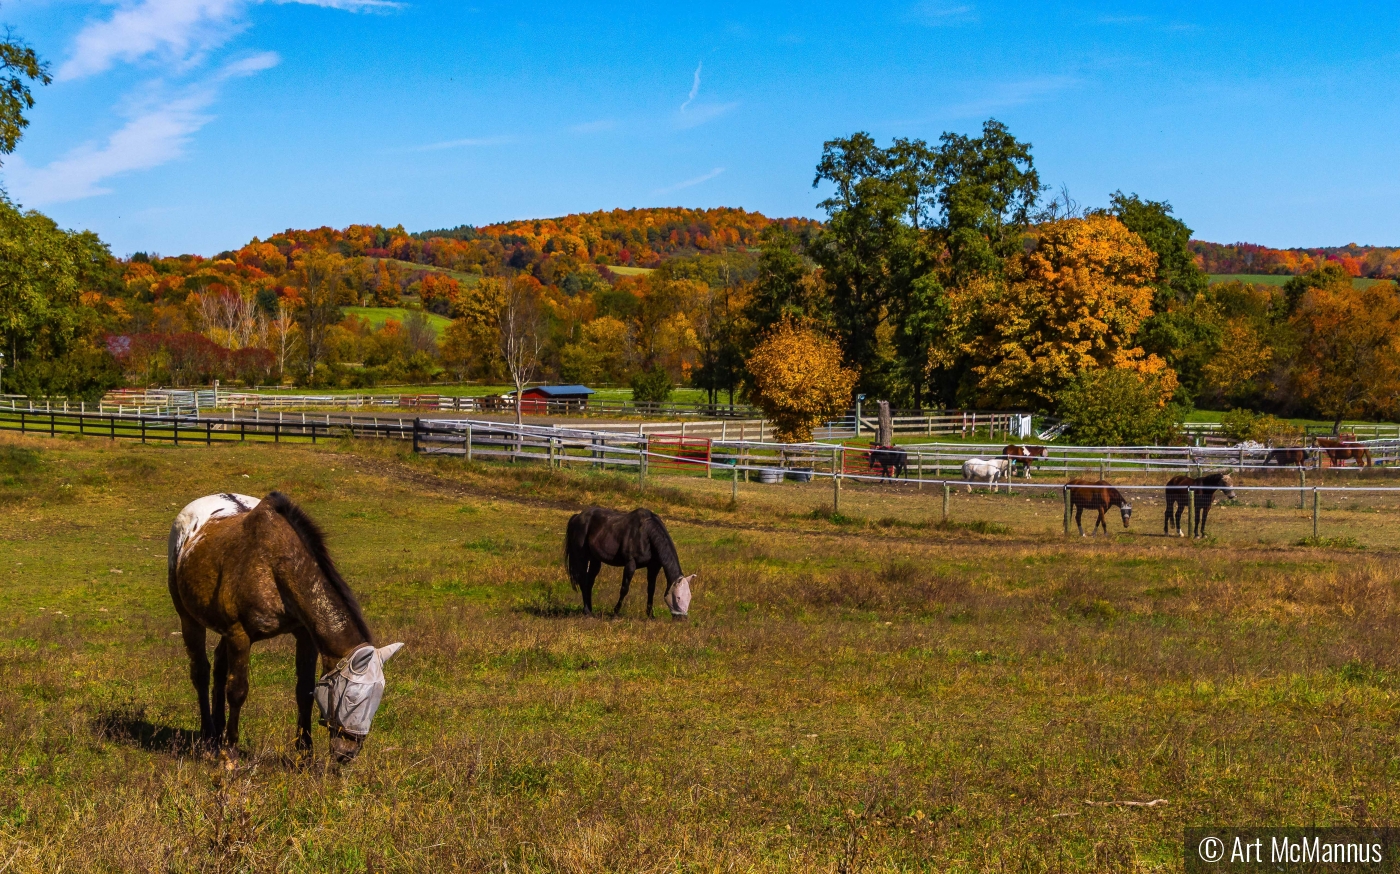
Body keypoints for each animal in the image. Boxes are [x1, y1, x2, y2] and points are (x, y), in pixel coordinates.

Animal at [167, 495, 406, 761]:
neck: (273, 565)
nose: (348, 753)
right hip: (189, 618)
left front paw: (304, 755)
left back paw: (218, 733)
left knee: (219, 666)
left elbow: (305, 692)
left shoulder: (304, 636)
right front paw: (231, 755)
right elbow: (237, 691)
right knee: (201, 672)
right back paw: (209, 735)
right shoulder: (239, 634)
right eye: (352, 698)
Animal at [562, 509, 694, 619]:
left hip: (595, 559)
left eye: (689, 596)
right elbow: (624, 589)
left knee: (589, 582)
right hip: (582, 558)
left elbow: (651, 589)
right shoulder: (630, 564)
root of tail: (577, 516)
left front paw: (650, 615)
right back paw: (587, 612)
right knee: (583, 581)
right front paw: (615, 613)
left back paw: (590, 610)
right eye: (678, 597)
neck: (646, 534)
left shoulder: (653, 567)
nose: (682, 619)